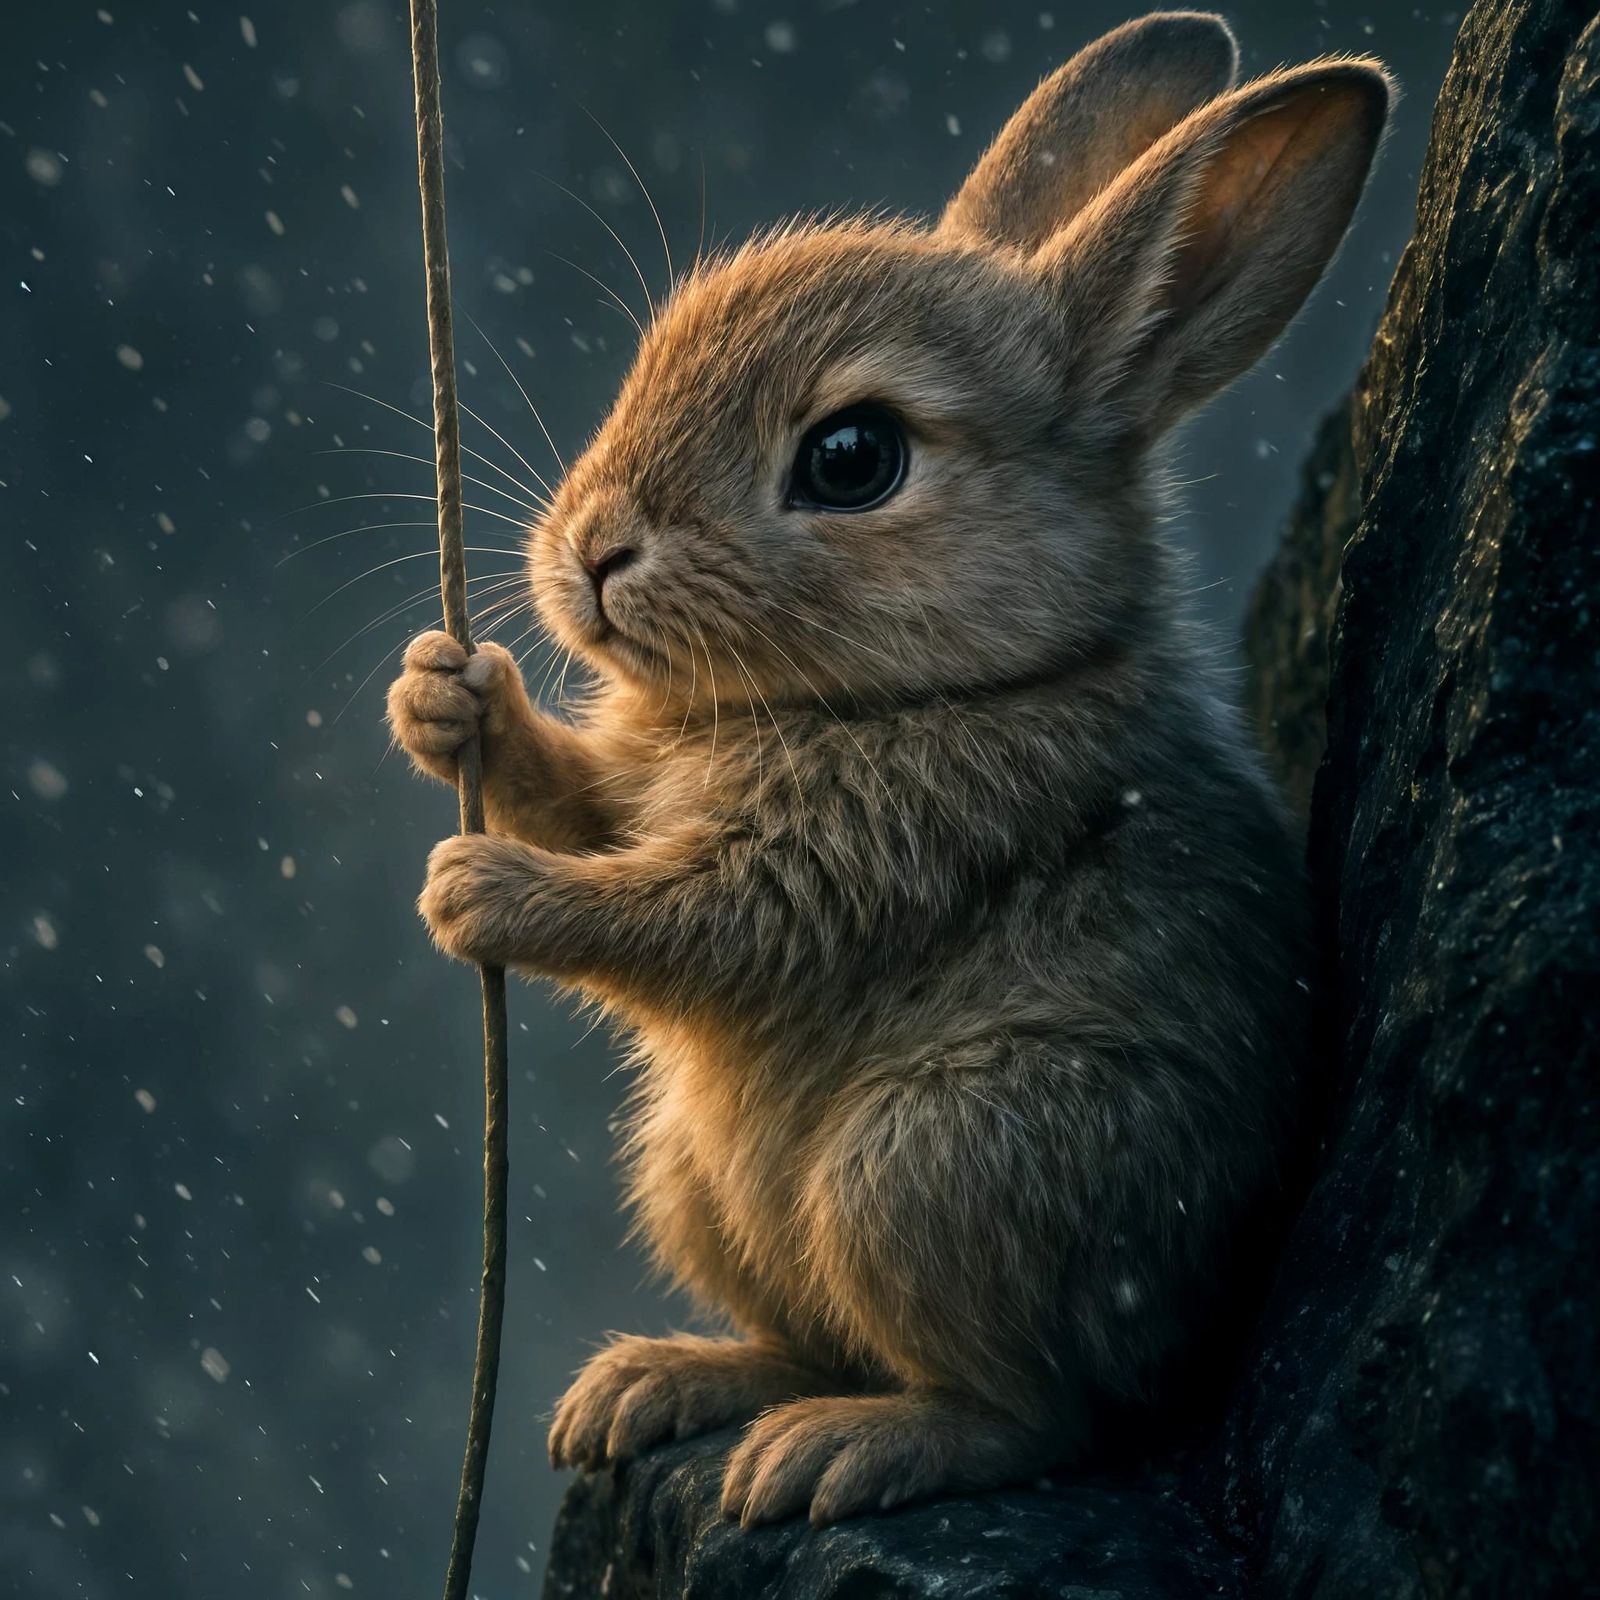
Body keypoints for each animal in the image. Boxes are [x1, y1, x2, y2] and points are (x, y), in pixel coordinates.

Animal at [387, 10, 1392, 1527]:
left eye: (852, 459)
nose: (592, 552)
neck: (939, 684)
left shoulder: (878, 848)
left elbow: (688, 919)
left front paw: (481, 890)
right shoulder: (650, 787)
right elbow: (589, 804)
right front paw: (446, 696)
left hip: (930, 1163)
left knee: (1043, 1411)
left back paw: (837, 1450)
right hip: (692, 1176)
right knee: (809, 1337)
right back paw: (656, 1385)